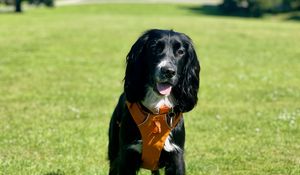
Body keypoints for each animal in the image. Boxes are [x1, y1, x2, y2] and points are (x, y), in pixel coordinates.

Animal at [109, 29, 200, 174]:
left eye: (181, 51)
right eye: (154, 48)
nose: (168, 71)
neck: (156, 112)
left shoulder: (176, 157)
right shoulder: (126, 156)